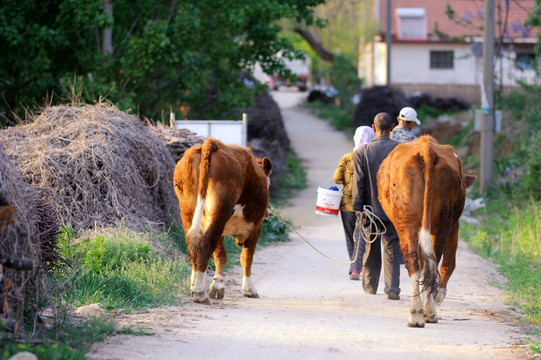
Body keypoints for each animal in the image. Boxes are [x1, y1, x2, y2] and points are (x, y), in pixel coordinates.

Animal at [172, 138, 270, 304]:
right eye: (269, 184)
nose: (267, 214)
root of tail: (211, 143)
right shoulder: (256, 227)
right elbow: (246, 258)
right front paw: (249, 290)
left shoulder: (220, 228)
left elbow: (220, 255)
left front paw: (217, 286)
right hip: (221, 210)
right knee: (205, 244)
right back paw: (200, 293)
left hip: (190, 212)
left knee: (194, 246)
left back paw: (194, 285)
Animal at [378, 134, 474, 326]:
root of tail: (426, 147)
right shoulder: (454, 225)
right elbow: (449, 262)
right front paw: (438, 296)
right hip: (442, 221)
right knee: (429, 262)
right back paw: (425, 312)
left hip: (408, 222)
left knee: (415, 261)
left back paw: (418, 313)